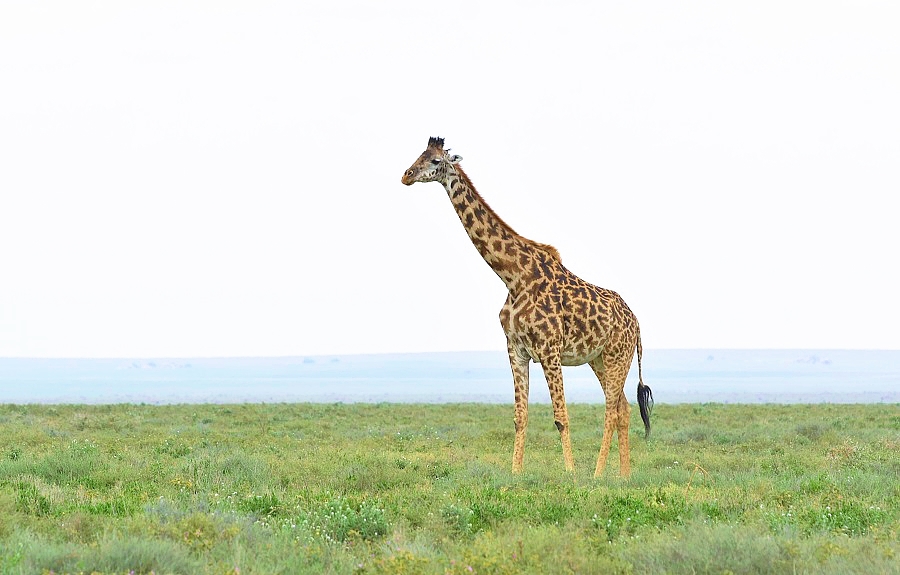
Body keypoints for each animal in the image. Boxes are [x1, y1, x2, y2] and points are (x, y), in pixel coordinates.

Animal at [402, 138, 652, 476]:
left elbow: (561, 417)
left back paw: (598, 474)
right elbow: (520, 417)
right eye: (420, 155)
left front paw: (571, 474)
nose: (407, 175)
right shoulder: (516, 349)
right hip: (599, 359)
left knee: (611, 411)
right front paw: (515, 473)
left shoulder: (549, 350)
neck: (513, 276)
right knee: (623, 408)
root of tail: (636, 322)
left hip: (617, 356)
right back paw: (623, 476)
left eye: (436, 160)